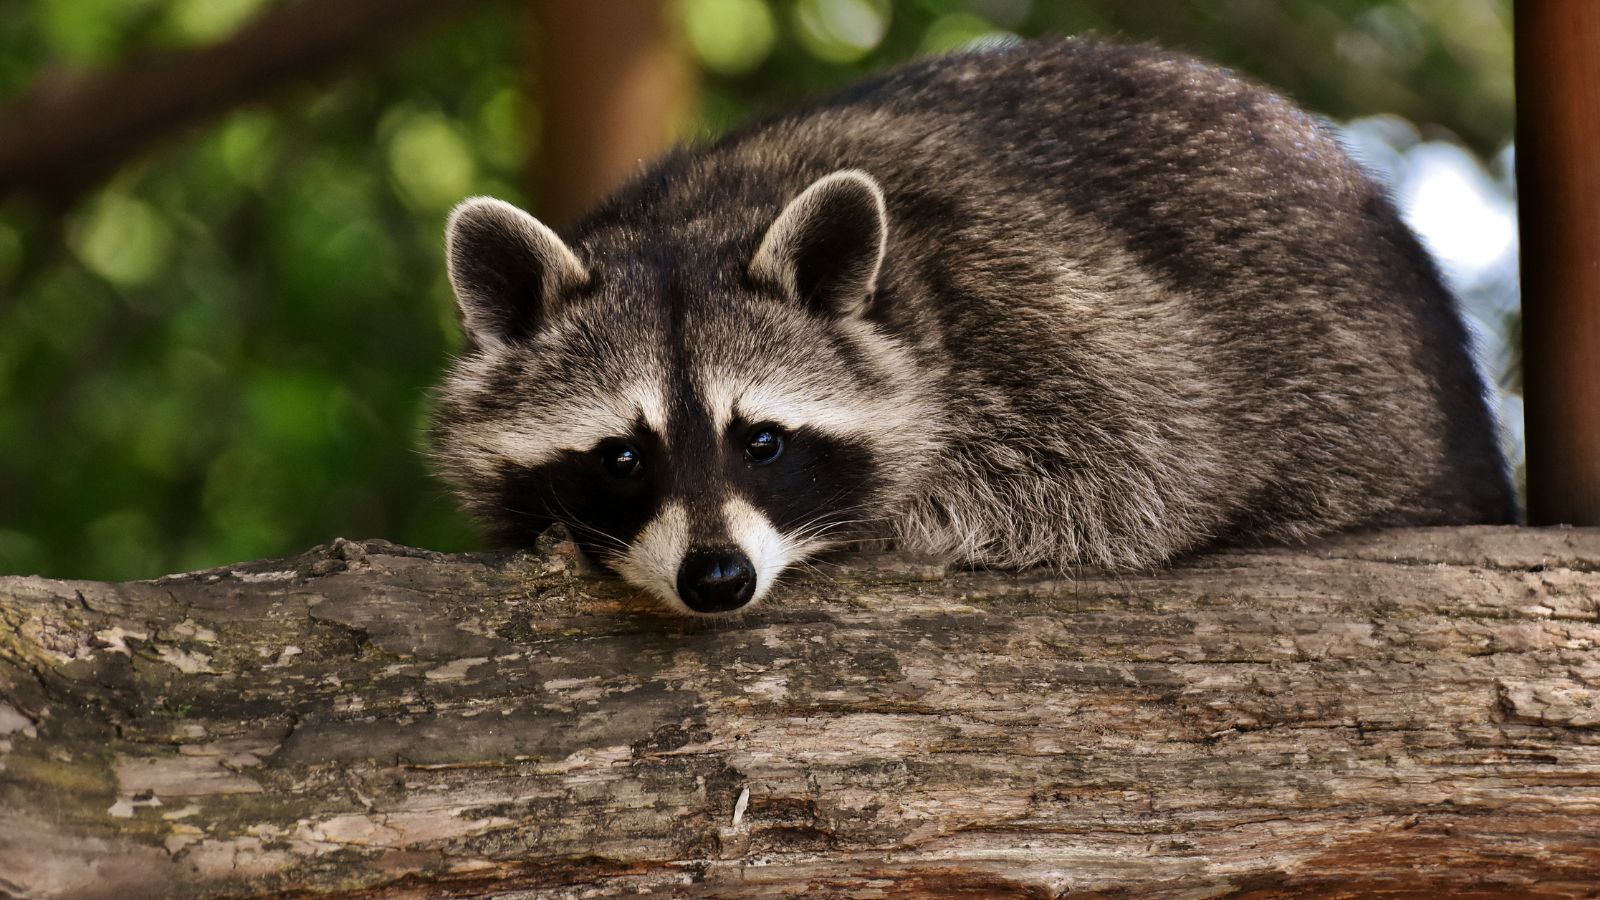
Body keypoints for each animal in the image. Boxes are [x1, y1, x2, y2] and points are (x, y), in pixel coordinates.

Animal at [430, 38, 1514, 615]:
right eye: (621, 456)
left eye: (763, 442)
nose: (718, 579)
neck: (696, 222)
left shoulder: (1051, 316)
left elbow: (1140, 471)